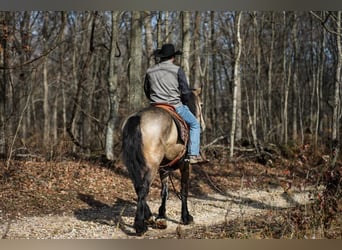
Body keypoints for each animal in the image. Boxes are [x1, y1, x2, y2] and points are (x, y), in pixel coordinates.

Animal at [121, 89, 204, 235]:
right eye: (201, 104)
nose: (203, 126)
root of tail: (137, 118)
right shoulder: (186, 165)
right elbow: (184, 190)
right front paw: (186, 217)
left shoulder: (164, 169)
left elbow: (164, 192)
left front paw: (161, 217)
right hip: (151, 166)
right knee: (143, 188)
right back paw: (140, 226)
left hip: (133, 165)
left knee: (138, 186)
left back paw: (148, 217)